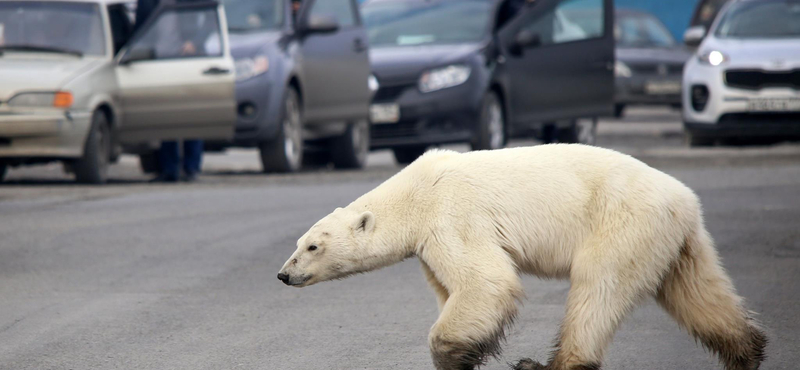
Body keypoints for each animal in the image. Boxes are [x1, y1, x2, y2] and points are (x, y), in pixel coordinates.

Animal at [278, 145, 764, 370]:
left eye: (312, 246)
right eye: (298, 243)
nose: (283, 274)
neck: (414, 192)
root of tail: (685, 200)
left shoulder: (452, 216)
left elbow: (485, 281)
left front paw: (453, 354)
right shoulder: (430, 244)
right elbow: (453, 288)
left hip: (622, 223)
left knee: (597, 289)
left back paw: (547, 363)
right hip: (675, 240)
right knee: (697, 293)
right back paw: (747, 350)